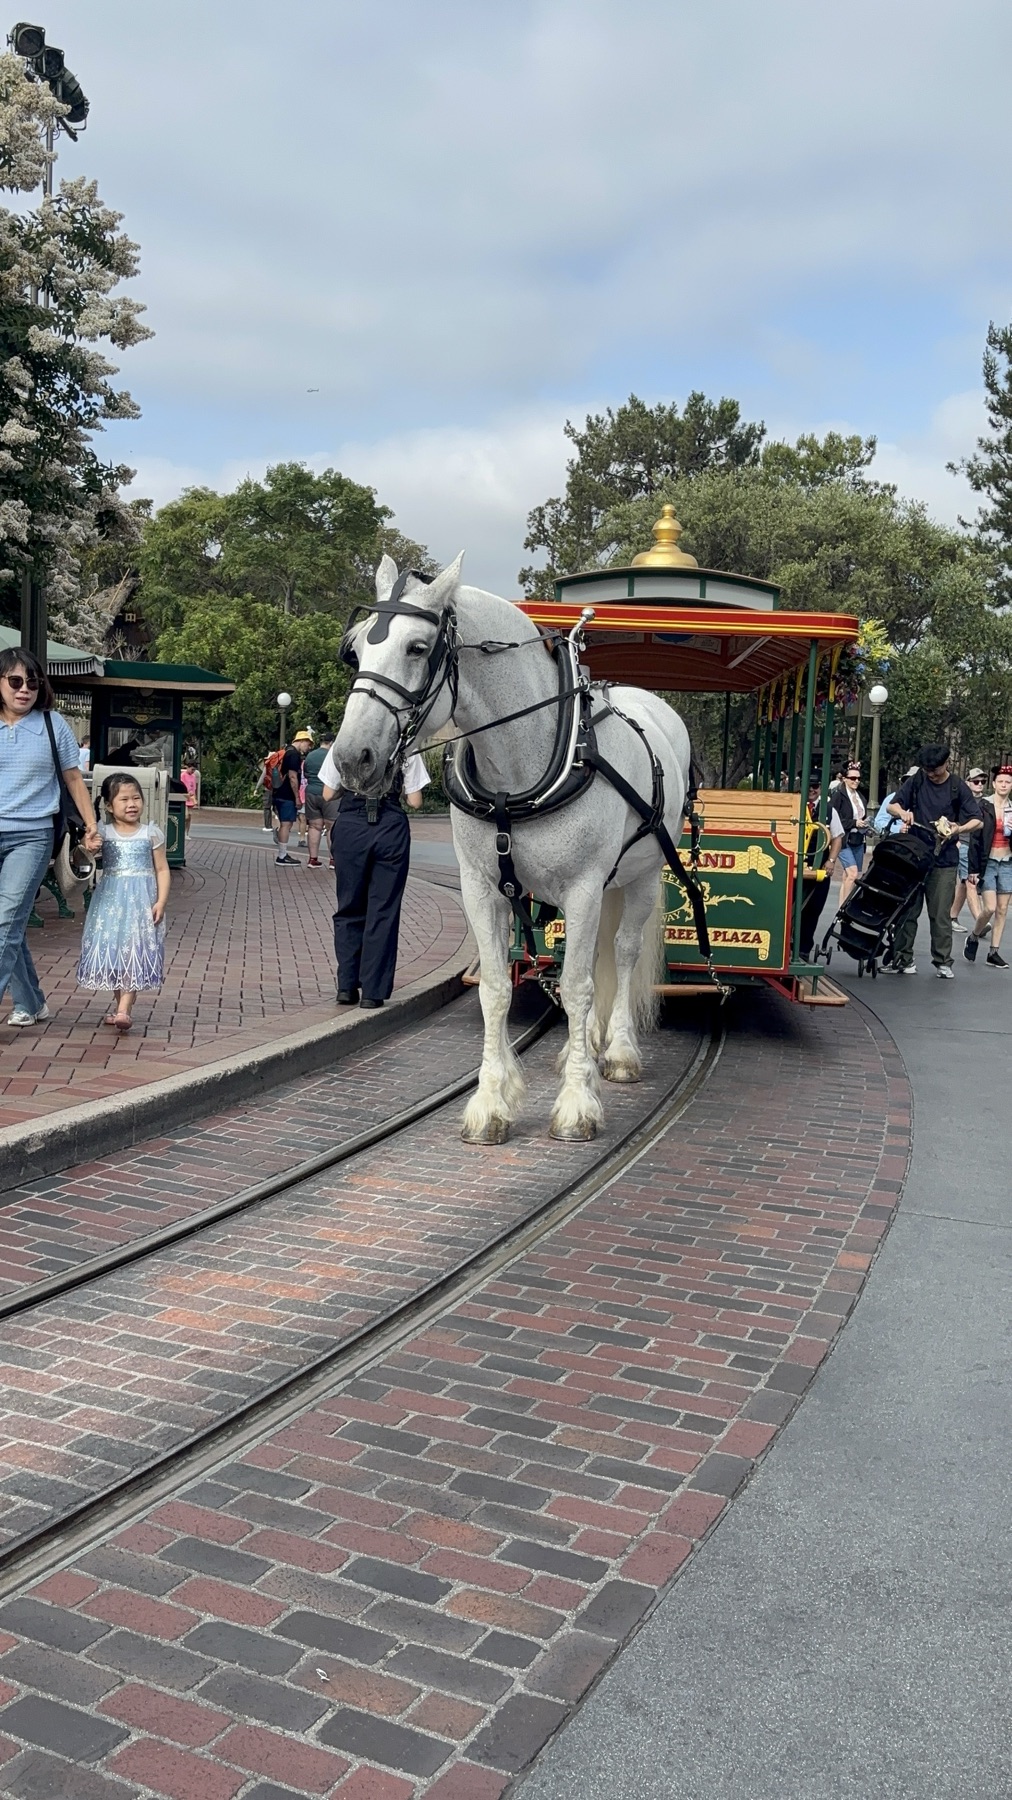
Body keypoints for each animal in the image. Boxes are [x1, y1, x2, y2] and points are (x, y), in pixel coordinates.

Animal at [333, 552, 699, 1145]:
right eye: (357, 648)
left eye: (417, 648)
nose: (350, 759)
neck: (523, 762)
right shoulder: (483, 888)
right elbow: (496, 990)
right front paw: (492, 1102)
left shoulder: (582, 889)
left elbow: (576, 986)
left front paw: (577, 1105)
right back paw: (582, 1050)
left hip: (640, 876)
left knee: (621, 953)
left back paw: (618, 1053)